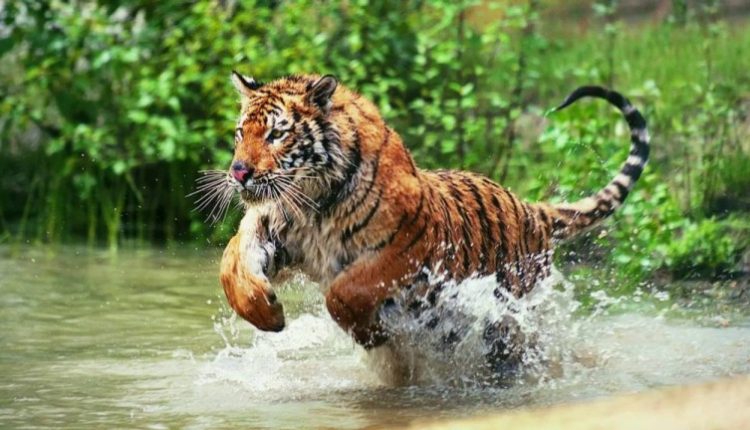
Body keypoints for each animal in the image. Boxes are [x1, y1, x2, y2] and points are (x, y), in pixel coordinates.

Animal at [214, 72, 649, 357]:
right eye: (240, 133)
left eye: (276, 134)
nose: (238, 172)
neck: (312, 200)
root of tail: (532, 210)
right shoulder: (271, 228)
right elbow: (231, 265)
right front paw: (267, 314)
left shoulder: (406, 247)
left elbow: (344, 291)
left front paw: (372, 335)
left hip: (510, 318)